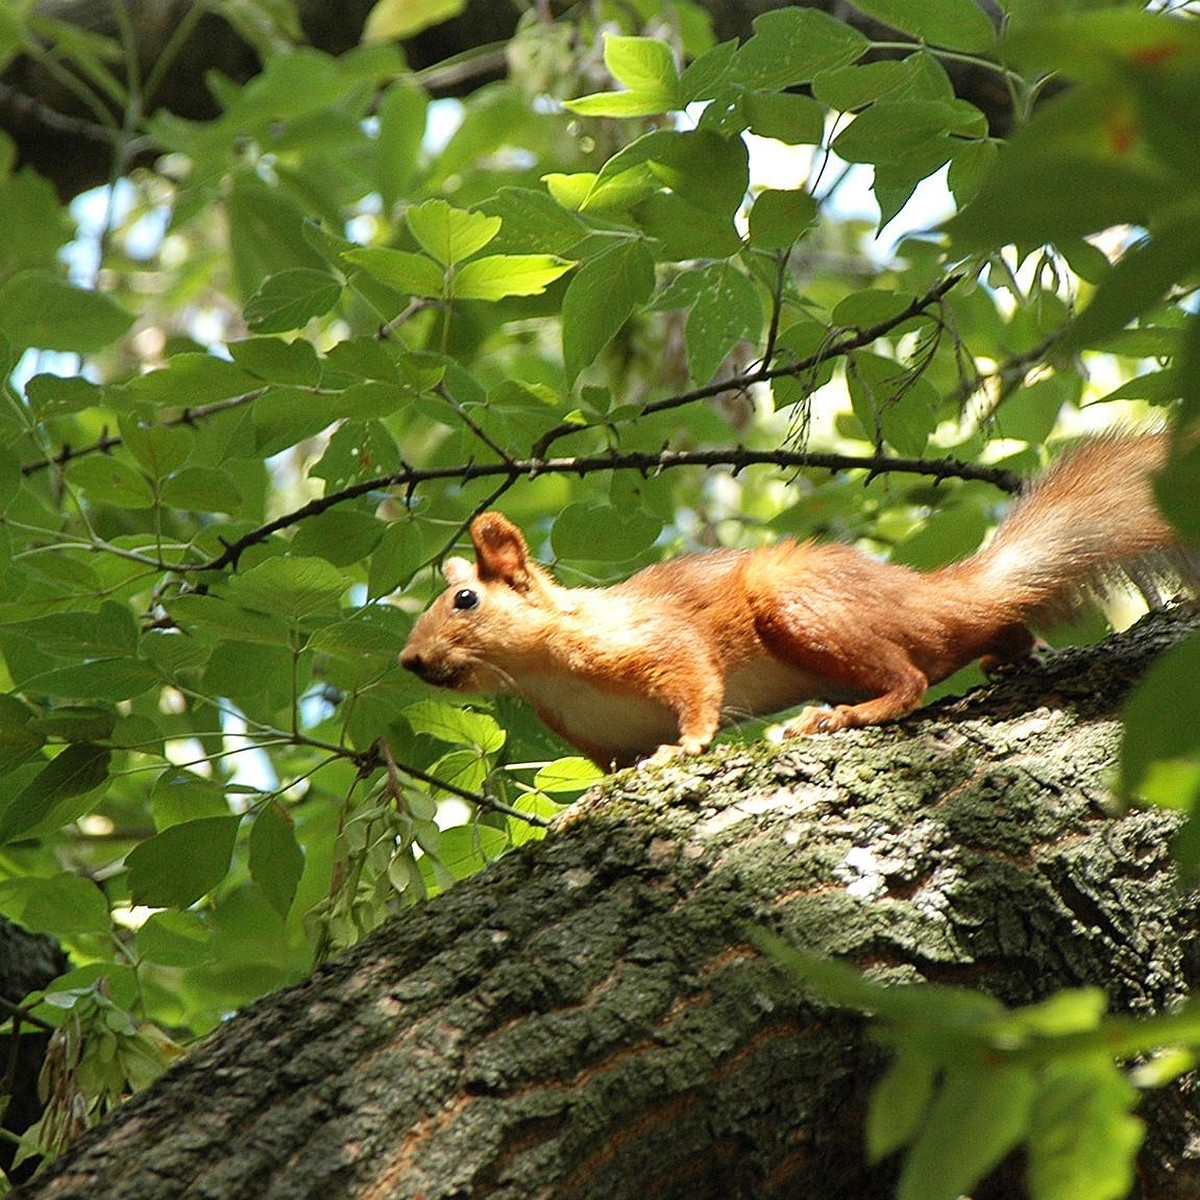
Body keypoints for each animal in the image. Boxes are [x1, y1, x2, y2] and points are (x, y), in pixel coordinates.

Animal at [400, 434, 1180, 768]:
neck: (543, 672)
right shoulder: (595, 739)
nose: (409, 661)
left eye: (464, 599)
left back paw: (838, 717)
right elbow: (606, 778)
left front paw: (687, 745)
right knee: (990, 635)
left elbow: (696, 683)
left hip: (798, 605)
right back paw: (1013, 654)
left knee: (910, 678)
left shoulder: (651, 640)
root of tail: (928, 594)